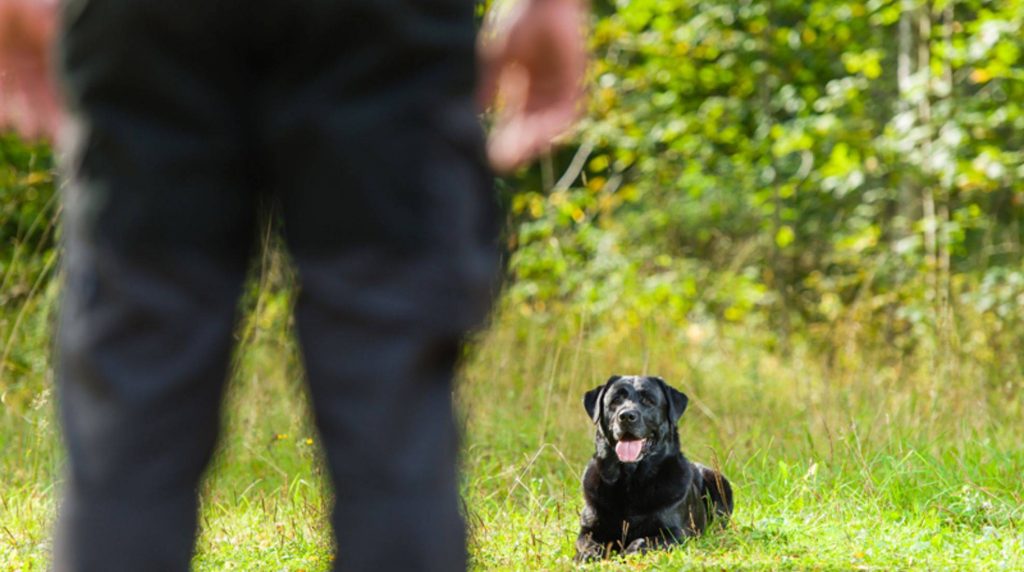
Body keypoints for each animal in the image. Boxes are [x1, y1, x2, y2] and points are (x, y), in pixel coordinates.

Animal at [573, 374, 733, 560]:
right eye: (615, 400)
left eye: (648, 400)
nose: (626, 416)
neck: (630, 480)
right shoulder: (589, 529)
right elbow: (588, 543)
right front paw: (587, 554)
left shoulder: (675, 533)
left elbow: (644, 541)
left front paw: (629, 552)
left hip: (718, 481)